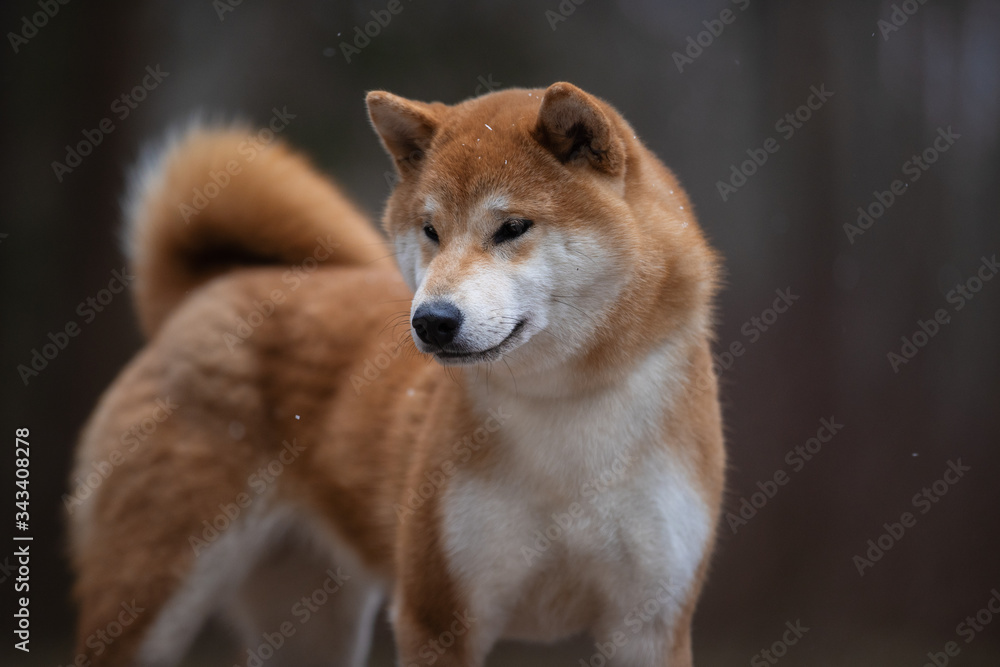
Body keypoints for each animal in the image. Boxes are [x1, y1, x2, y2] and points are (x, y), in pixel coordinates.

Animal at [72, 83, 728, 667]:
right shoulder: (436, 615)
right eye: (431, 230)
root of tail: (208, 292)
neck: (564, 413)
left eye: (512, 227)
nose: (433, 320)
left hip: (309, 626)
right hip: (149, 601)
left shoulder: (651, 622)